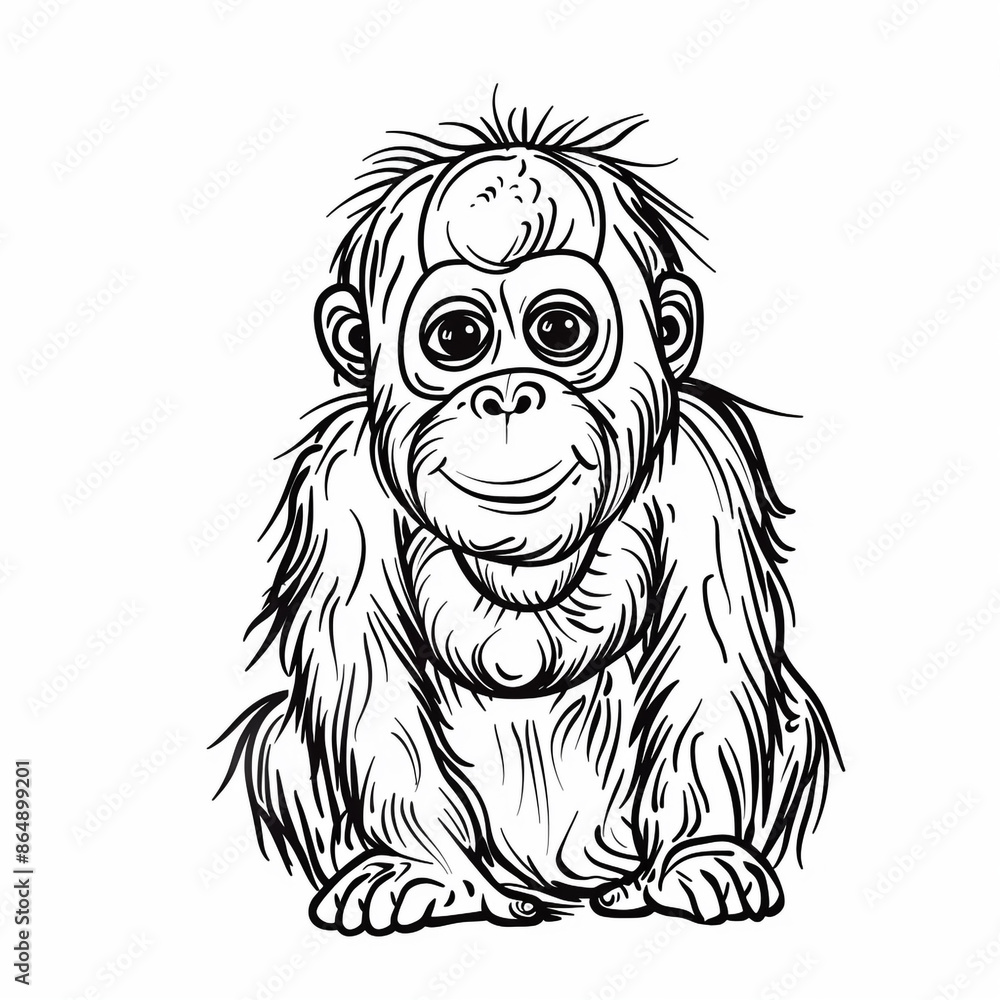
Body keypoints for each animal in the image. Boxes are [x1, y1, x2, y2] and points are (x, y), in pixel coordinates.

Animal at [214, 103, 840, 936]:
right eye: (457, 339)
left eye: (559, 332)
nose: (509, 394)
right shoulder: (338, 488)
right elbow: (368, 675)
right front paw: (421, 871)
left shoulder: (710, 467)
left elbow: (709, 660)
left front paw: (698, 853)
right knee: (278, 736)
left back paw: (632, 887)